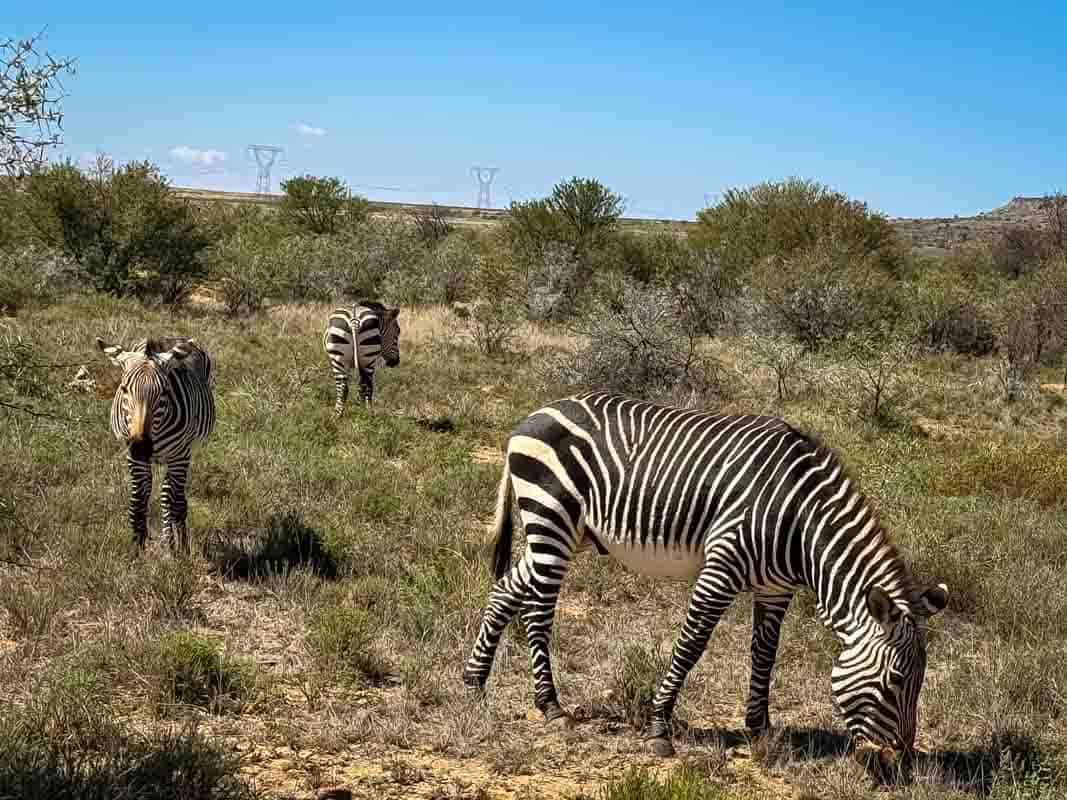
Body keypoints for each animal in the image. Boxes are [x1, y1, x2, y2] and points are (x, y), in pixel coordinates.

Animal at [94, 337, 215, 550]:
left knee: (173, 498)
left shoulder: (179, 455)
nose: (141, 447)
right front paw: (137, 547)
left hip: (181, 454)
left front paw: (175, 548)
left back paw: (176, 541)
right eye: (124, 389)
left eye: (164, 392)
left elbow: (172, 502)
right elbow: (137, 501)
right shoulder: (134, 457)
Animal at [463, 392, 947, 759]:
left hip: (573, 532)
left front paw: (760, 728)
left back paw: (475, 683)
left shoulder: (775, 587)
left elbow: (765, 654)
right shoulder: (722, 565)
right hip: (551, 518)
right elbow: (691, 645)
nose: (901, 763)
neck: (799, 520)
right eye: (895, 682)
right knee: (538, 611)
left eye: (921, 682)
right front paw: (659, 727)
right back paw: (550, 705)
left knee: (506, 589)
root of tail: (534, 413)